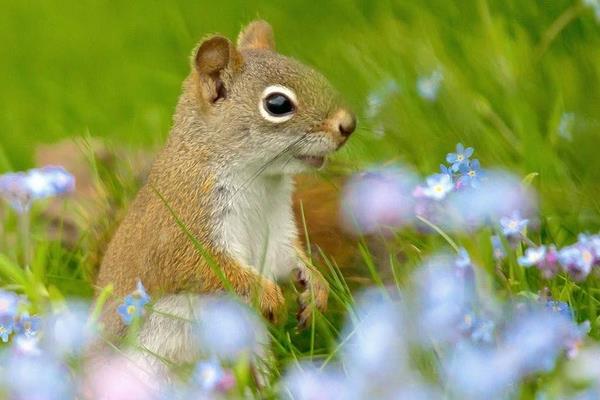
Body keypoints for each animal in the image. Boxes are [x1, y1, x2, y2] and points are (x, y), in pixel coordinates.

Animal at [95, 20, 354, 366]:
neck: (260, 180)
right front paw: (269, 298)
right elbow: (205, 267)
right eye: (278, 104)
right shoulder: (184, 222)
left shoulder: (277, 228)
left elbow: (287, 255)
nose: (348, 125)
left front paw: (315, 287)